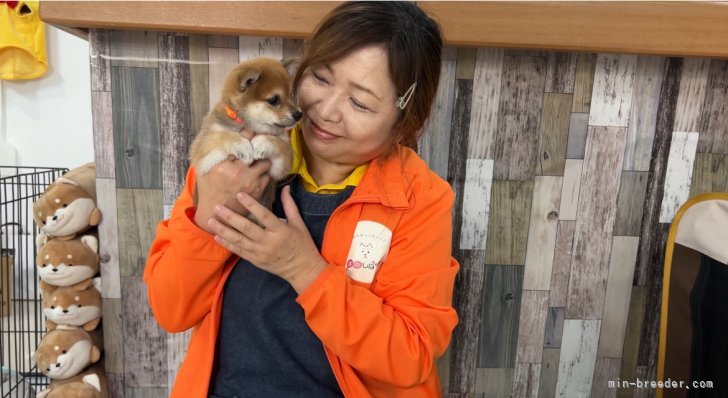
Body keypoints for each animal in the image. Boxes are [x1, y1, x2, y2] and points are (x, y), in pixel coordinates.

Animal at [191, 57, 302, 210]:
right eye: (273, 100)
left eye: (291, 95)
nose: (299, 114)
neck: (247, 125)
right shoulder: (201, 155)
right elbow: (221, 135)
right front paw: (242, 146)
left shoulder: (279, 167)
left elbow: (279, 143)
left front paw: (262, 142)